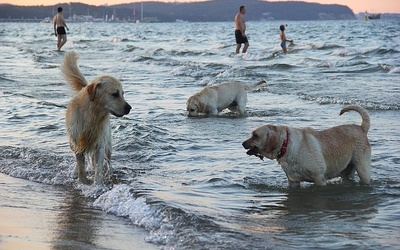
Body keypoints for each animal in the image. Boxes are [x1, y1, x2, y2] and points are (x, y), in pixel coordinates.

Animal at [61, 50, 132, 185]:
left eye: (123, 94)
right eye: (115, 94)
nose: (129, 108)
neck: (92, 115)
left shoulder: (100, 144)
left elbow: (98, 168)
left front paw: (97, 185)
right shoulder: (78, 142)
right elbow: (81, 167)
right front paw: (82, 182)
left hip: (108, 143)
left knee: (107, 160)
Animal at [244, 105, 372, 188]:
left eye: (255, 135)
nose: (242, 143)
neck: (286, 145)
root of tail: (361, 128)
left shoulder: (319, 179)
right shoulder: (293, 181)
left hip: (363, 170)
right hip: (347, 171)